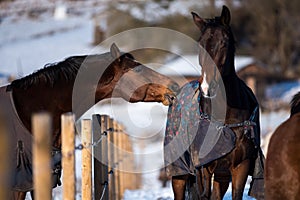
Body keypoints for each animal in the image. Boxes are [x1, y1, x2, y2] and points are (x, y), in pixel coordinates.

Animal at [169, 5, 264, 199]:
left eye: (224, 43)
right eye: (200, 44)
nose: (207, 87)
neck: (226, 120)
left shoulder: (240, 167)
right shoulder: (204, 169)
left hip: (222, 176)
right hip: (180, 173)